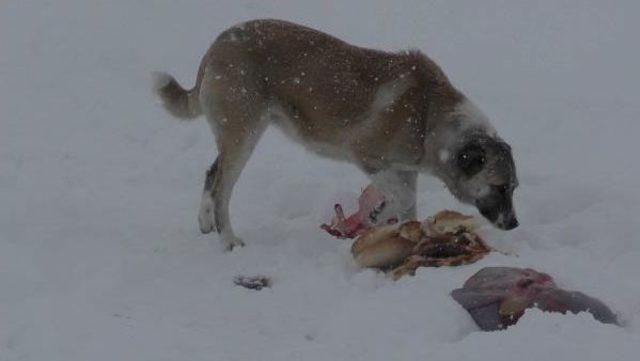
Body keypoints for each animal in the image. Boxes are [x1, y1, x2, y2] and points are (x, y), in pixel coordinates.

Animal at [152, 19, 516, 250]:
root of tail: (217, 45)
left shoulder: (404, 169)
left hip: (236, 136)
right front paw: (385, 221)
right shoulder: (366, 155)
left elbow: (404, 201)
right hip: (244, 134)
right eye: (499, 187)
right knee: (220, 189)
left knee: (211, 172)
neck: (428, 116)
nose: (514, 225)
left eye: (514, 188)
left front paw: (400, 230)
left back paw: (204, 223)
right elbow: (401, 196)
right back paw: (228, 240)